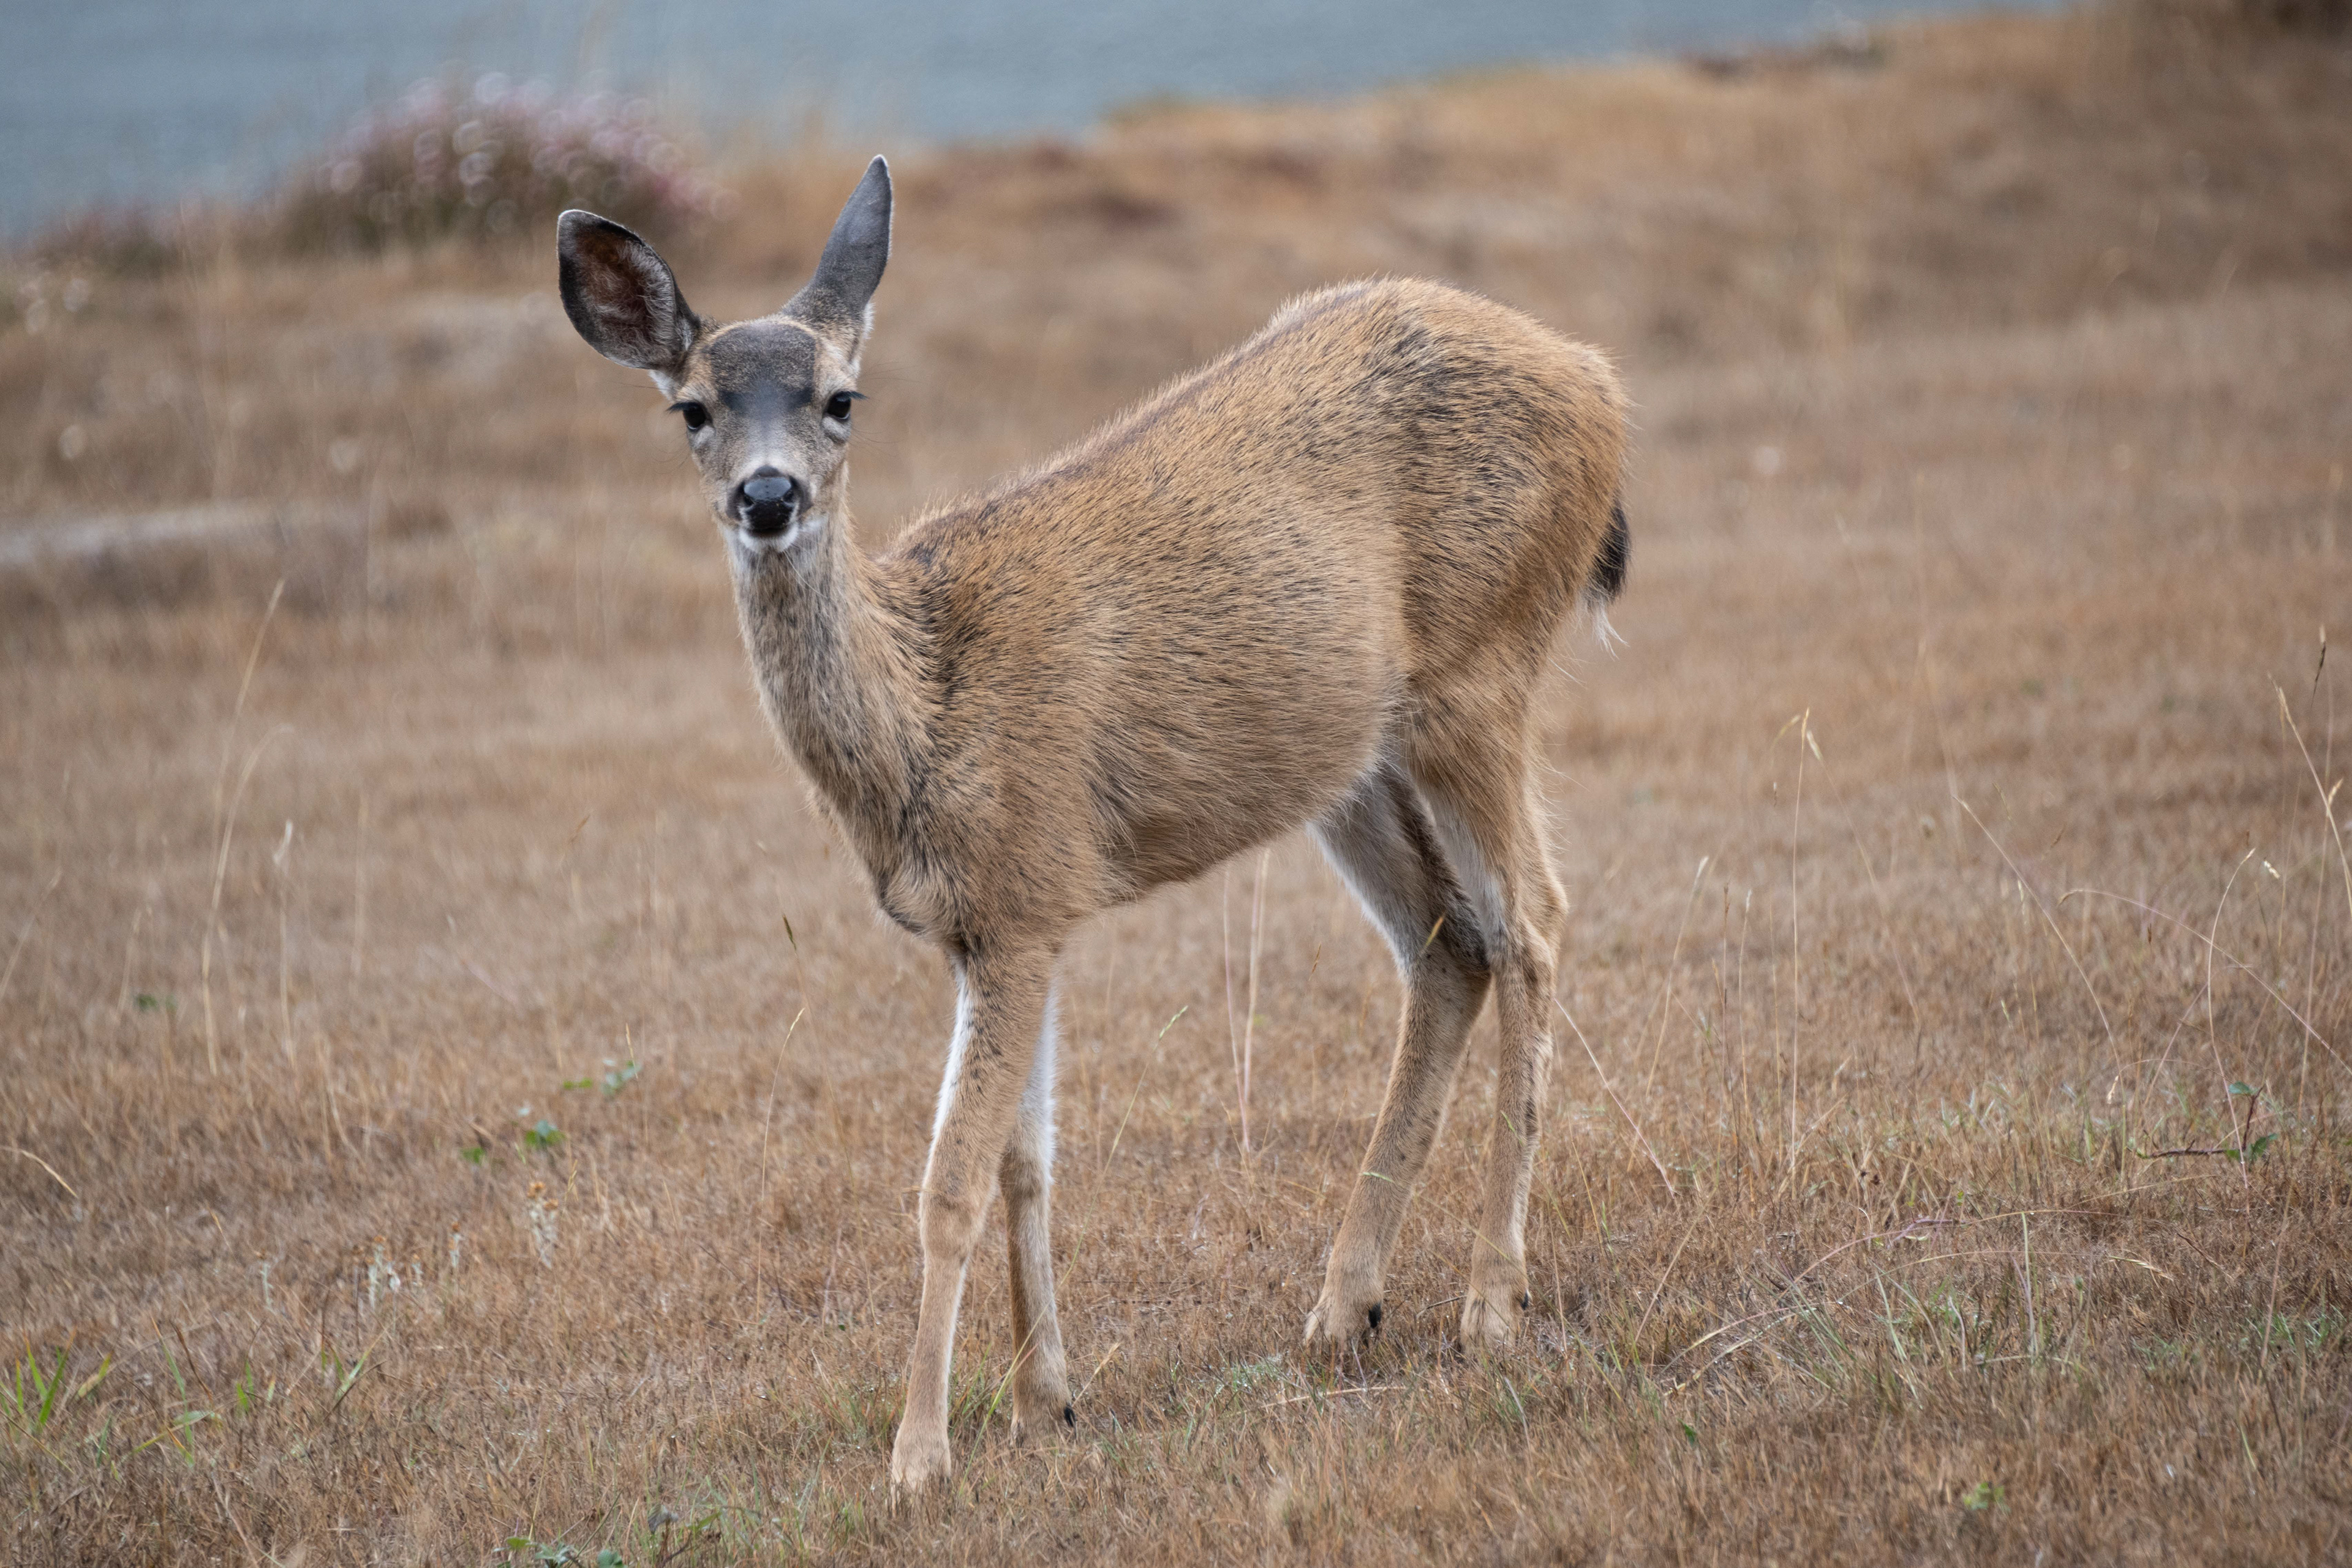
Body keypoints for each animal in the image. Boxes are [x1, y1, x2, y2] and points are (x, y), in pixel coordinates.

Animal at [555, 155, 1629, 1493]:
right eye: (693, 409)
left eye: (840, 399)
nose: (768, 495)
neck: (925, 709)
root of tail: (1601, 384)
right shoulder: (1000, 922)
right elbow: (1028, 1159)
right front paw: (1043, 1398)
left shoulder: (1026, 891)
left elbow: (950, 1180)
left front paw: (920, 1455)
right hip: (1356, 760)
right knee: (1450, 942)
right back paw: (1344, 1308)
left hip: (1481, 672)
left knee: (1534, 921)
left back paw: (1491, 1305)